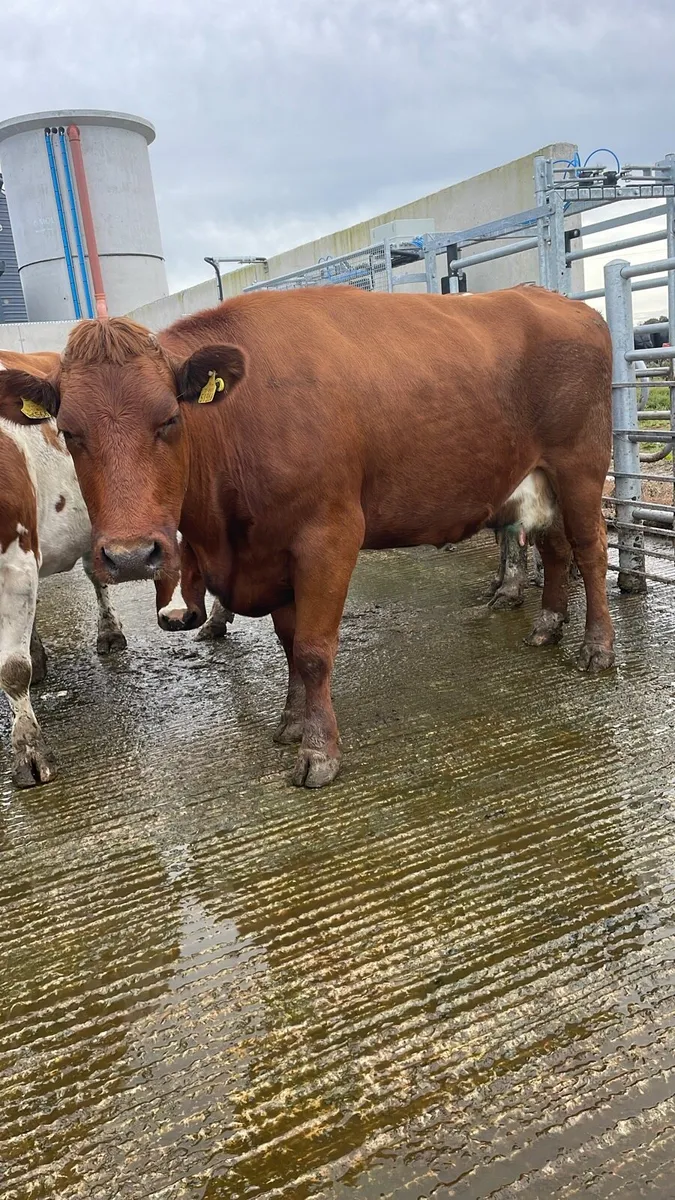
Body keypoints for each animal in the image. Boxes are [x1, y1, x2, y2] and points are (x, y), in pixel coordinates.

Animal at [0, 285, 615, 788]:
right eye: (70, 432)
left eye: (170, 418)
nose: (131, 556)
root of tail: (560, 301)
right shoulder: (272, 552)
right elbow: (288, 642)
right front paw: (292, 723)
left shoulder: (328, 536)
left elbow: (315, 650)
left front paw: (319, 752)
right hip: (538, 481)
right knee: (556, 550)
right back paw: (548, 624)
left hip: (581, 467)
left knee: (589, 551)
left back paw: (597, 647)